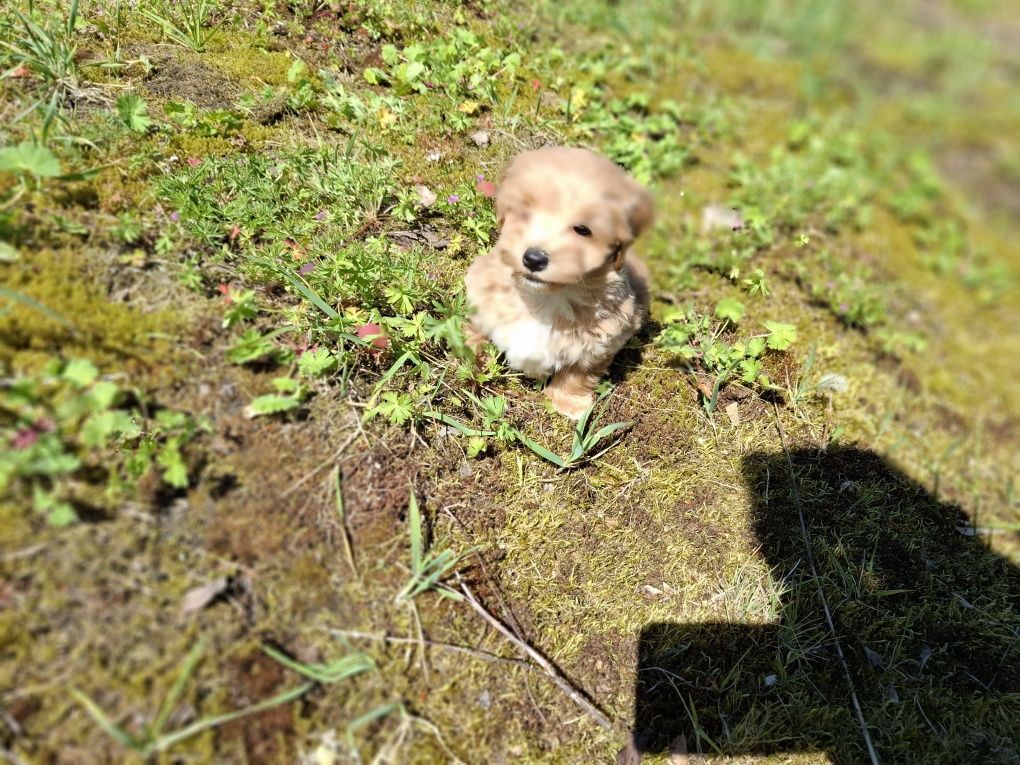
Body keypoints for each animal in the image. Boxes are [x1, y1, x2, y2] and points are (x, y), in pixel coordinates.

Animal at [465, 144, 652, 420]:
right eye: (525, 212)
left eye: (583, 230)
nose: (533, 259)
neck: (544, 296)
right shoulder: (484, 290)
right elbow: (475, 330)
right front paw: (470, 360)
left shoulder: (602, 337)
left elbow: (579, 372)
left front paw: (568, 403)